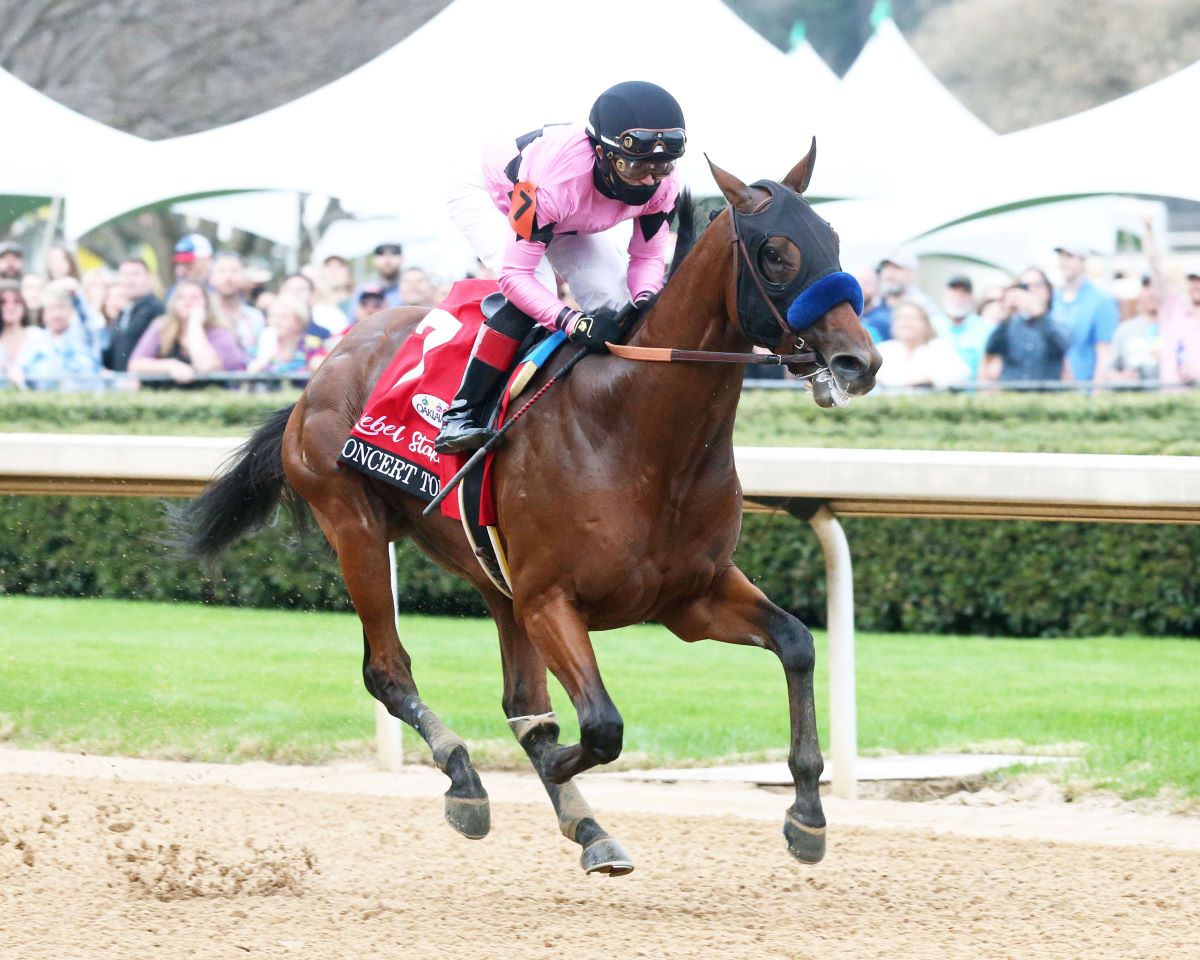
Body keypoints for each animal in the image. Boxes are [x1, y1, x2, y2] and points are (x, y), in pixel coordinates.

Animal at [184, 148, 883, 878]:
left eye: (832, 237)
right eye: (775, 253)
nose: (858, 360)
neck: (638, 430)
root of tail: (328, 362)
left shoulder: (691, 597)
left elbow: (797, 642)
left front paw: (807, 812)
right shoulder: (552, 598)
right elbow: (600, 728)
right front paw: (554, 770)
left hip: (492, 574)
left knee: (521, 699)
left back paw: (581, 822)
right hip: (355, 526)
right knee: (389, 670)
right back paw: (465, 778)